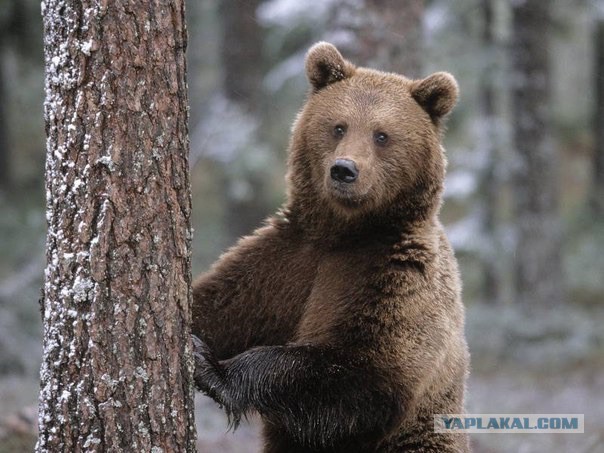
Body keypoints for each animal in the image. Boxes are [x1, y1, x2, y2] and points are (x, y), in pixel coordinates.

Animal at [191, 42, 470, 452]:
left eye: (382, 135)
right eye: (339, 126)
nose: (344, 170)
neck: (345, 232)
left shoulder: (394, 277)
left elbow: (361, 374)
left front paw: (212, 368)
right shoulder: (285, 261)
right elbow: (219, 305)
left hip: (420, 439)